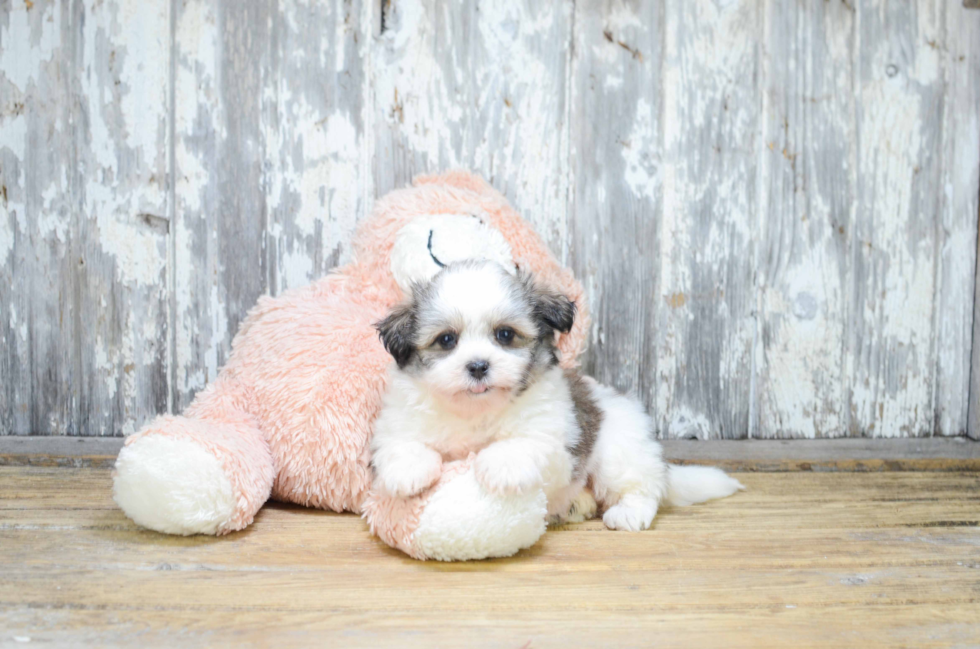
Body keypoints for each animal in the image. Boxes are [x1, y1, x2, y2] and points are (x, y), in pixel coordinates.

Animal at [370, 256, 744, 528]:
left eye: (505, 335)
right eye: (447, 340)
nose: (478, 366)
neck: (477, 411)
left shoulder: (555, 437)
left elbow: (527, 442)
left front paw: (500, 463)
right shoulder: (398, 419)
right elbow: (400, 442)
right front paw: (409, 468)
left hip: (620, 452)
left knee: (642, 486)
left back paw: (630, 512)